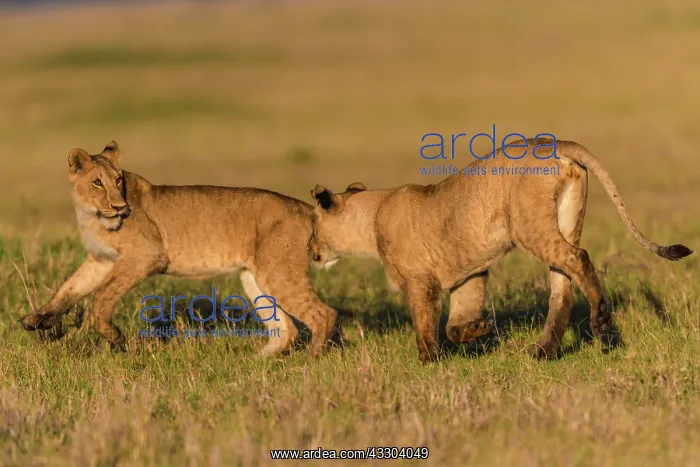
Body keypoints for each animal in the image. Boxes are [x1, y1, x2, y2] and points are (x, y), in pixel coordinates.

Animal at [19, 141, 339, 357]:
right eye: (97, 182)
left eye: (118, 180)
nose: (120, 207)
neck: (92, 214)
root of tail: (305, 208)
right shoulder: (101, 260)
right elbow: (69, 288)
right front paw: (36, 320)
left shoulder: (146, 255)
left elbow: (102, 296)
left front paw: (114, 337)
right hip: (255, 277)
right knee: (287, 329)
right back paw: (256, 361)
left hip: (278, 273)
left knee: (325, 314)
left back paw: (310, 359)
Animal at [308, 138, 693, 363]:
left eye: (312, 224)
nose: (310, 250)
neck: (372, 214)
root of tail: (555, 143)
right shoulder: (470, 276)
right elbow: (454, 324)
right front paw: (477, 330)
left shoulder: (418, 282)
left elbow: (424, 324)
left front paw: (428, 362)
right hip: (566, 217)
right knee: (563, 287)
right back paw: (544, 352)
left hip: (528, 226)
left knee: (579, 259)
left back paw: (601, 323)